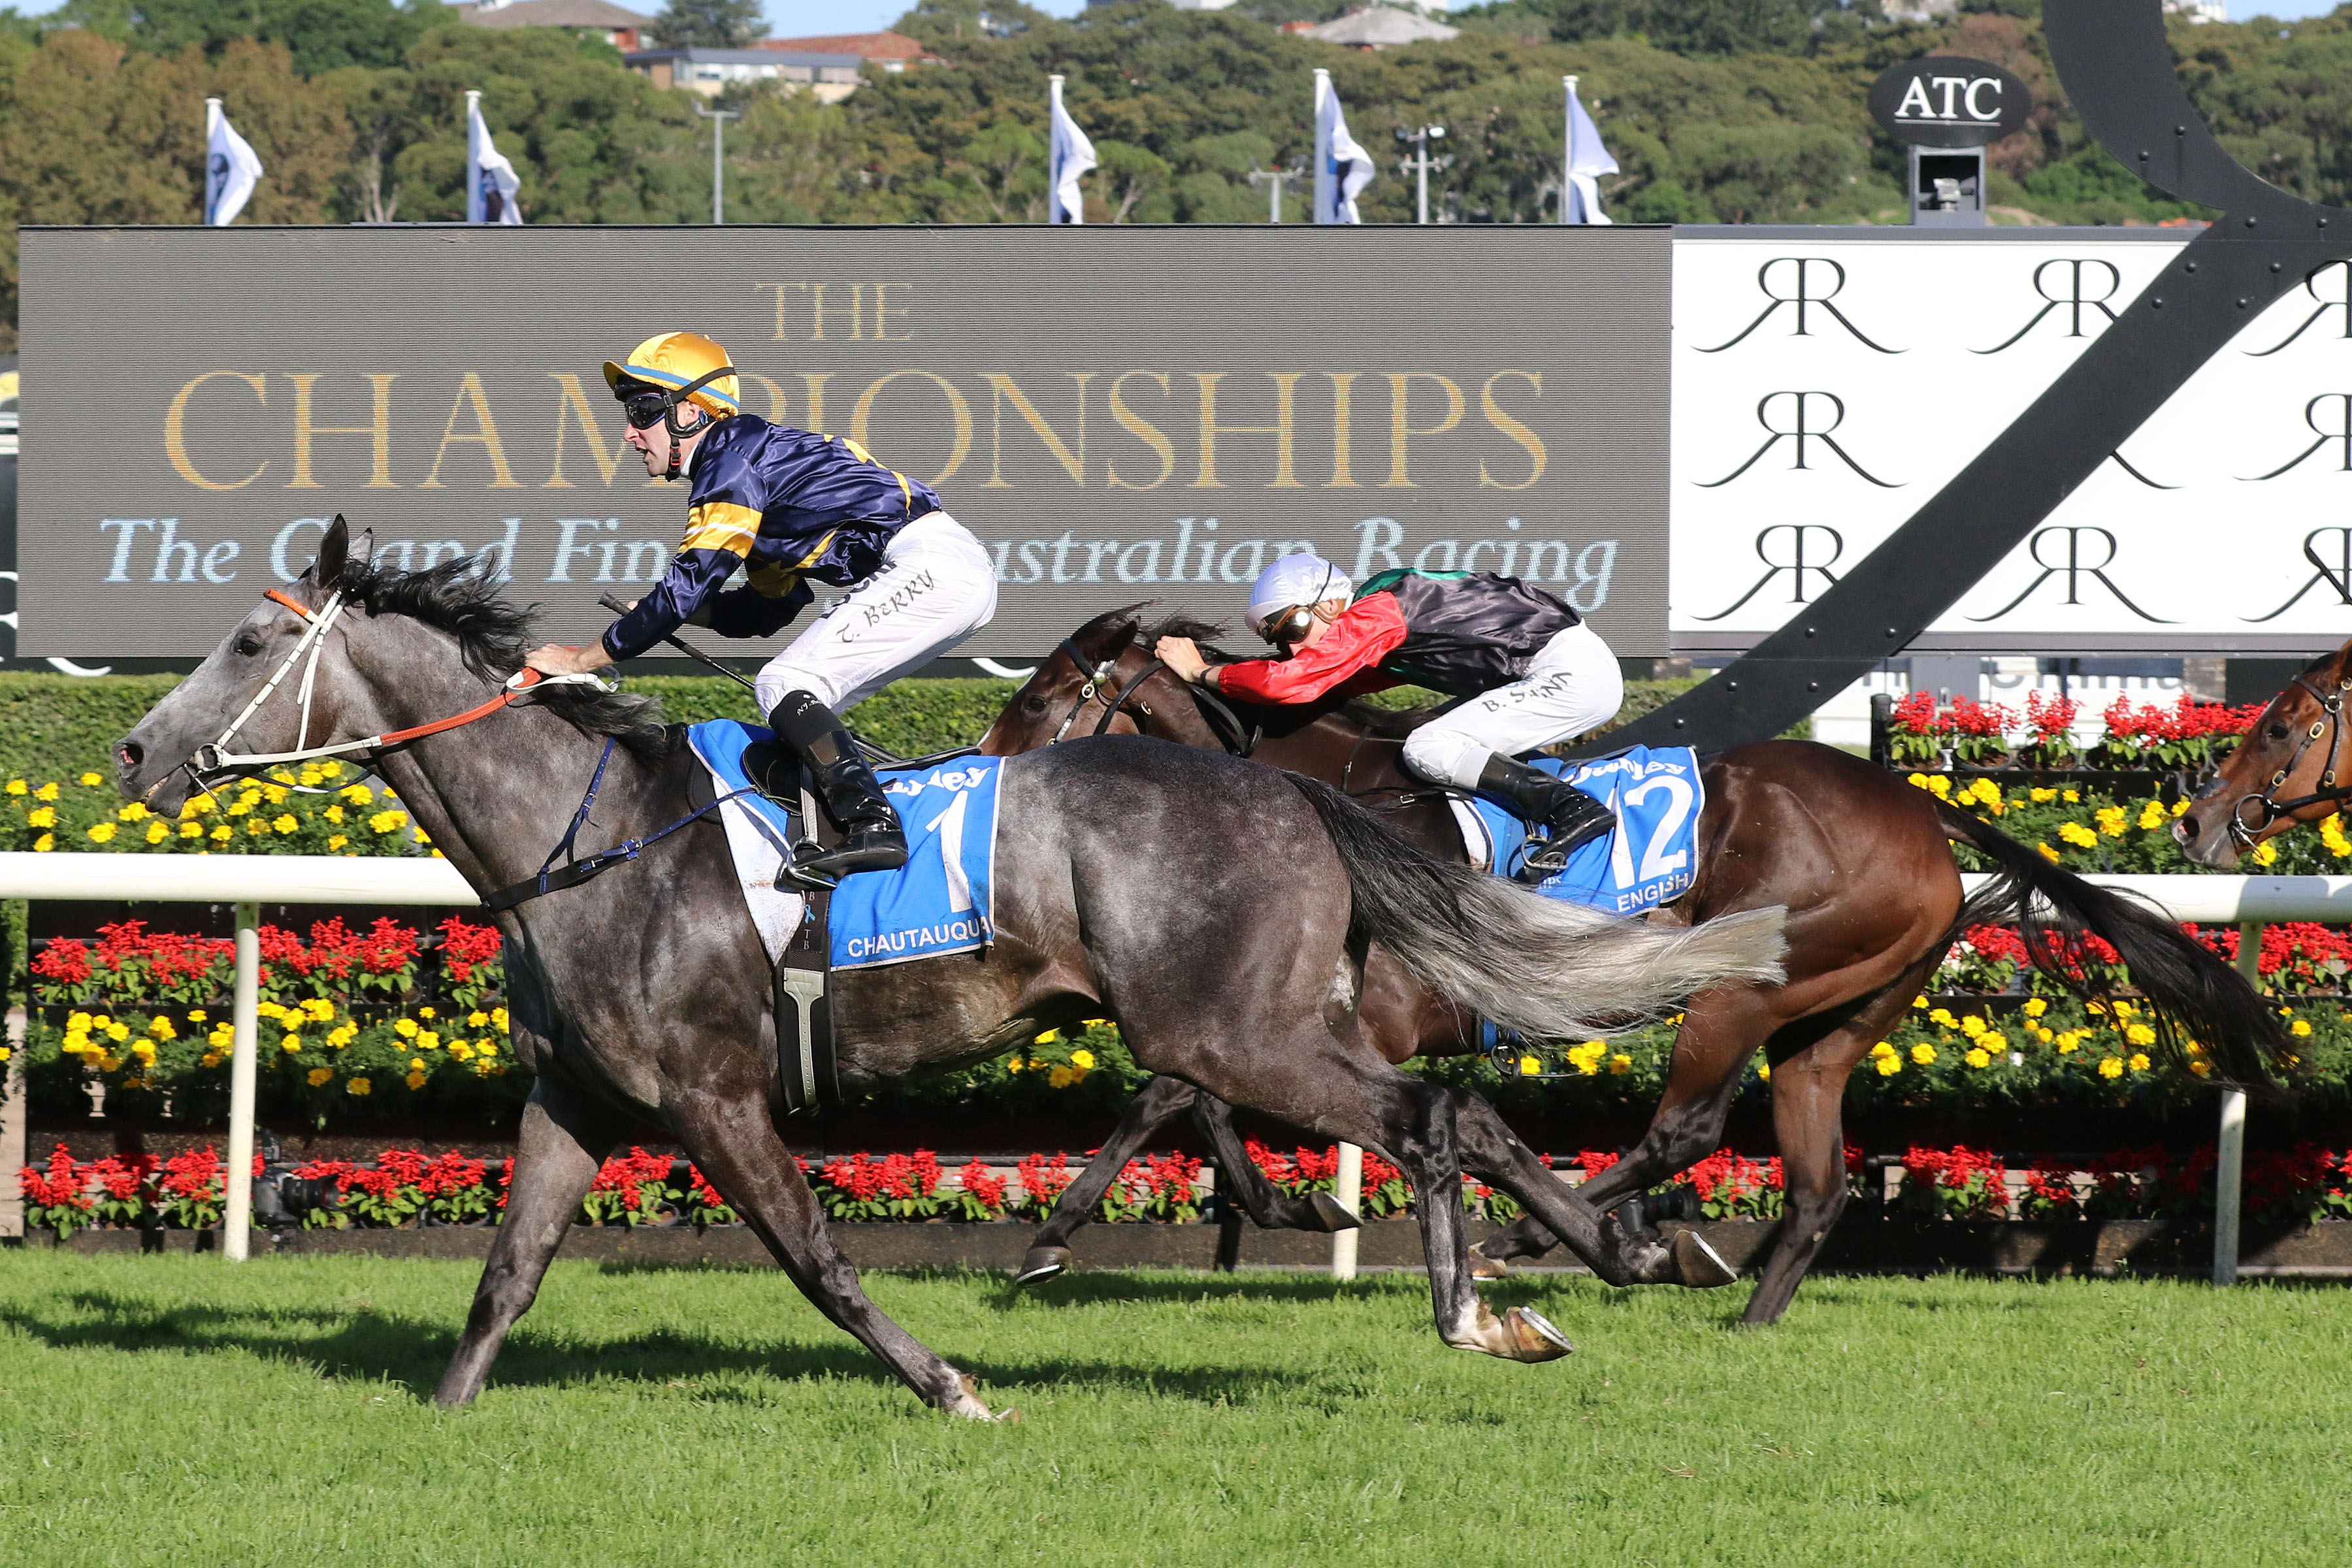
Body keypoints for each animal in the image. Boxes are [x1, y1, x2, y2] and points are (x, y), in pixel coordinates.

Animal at [114, 521, 1797, 1420]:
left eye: (250, 639)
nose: (133, 752)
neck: (582, 839)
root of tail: (1289, 792)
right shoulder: (581, 1094)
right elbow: (508, 1266)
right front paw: (449, 1413)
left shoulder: (715, 1094)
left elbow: (816, 1254)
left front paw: (953, 1384)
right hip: (1259, 1022)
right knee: (1462, 1113)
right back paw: (1591, 1260)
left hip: (1233, 1025)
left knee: (1432, 1115)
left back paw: (1485, 1306)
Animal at [983, 606, 2286, 1316]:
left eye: (1045, 698)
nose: (982, 771)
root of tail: (1919, 809)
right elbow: (1189, 1091)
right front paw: (1274, 1204)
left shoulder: (1373, 1016)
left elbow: (1173, 1089)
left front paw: (1057, 1240)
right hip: (1841, 1012)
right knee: (1817, 1175)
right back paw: (1740, 1307)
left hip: (1747, 984)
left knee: (1688, 1130)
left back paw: (1570, 1242)